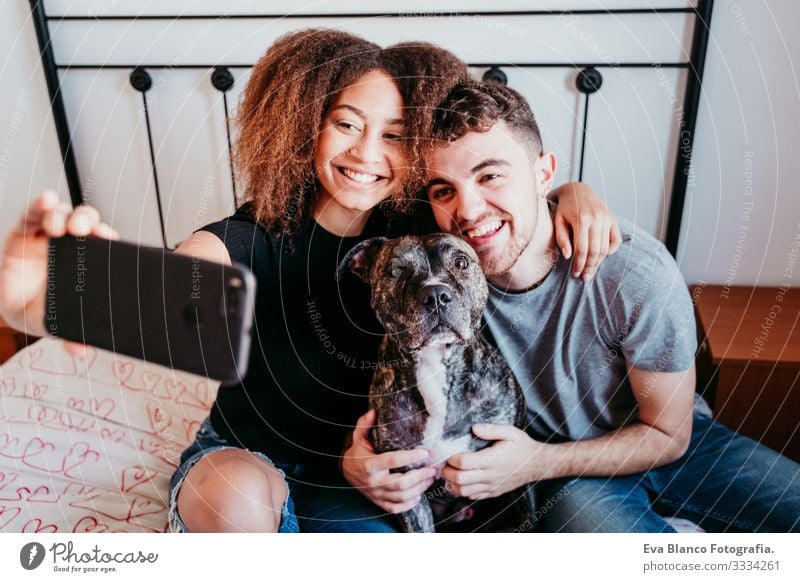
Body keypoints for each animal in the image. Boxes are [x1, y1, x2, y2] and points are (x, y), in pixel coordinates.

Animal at [340, 233, 536, 532]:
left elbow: (526, 516)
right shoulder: (405, 483)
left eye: (461, 262)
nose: (435, 296)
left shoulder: (511, 466)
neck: (435, 365)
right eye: (396, 270)